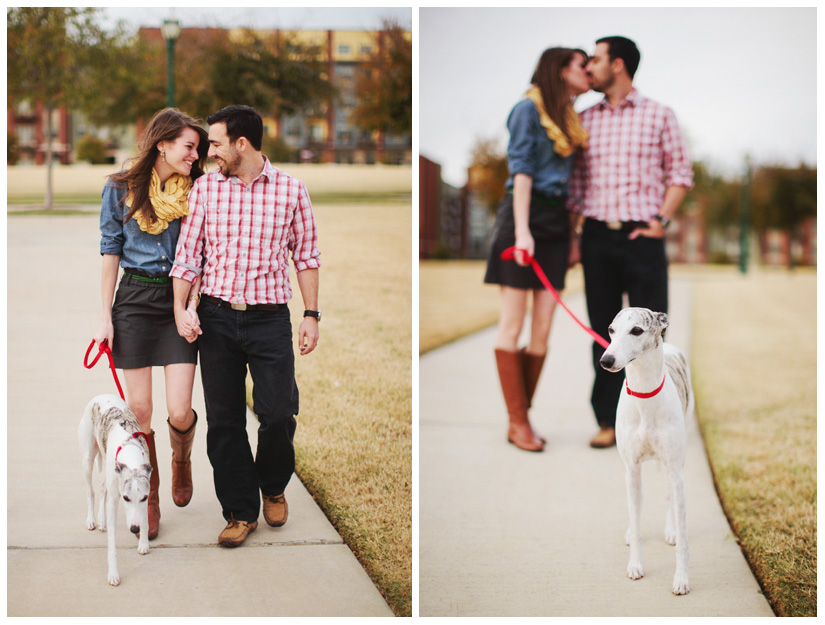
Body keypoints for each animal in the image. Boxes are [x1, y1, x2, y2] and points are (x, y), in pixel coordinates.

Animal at [79, 394, 154, 584]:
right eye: (126, 498)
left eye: (143, 498)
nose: (134, 529)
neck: (130, 453)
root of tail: (101, 395)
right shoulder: (115, 499)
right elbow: (112, 544)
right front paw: (113, 573)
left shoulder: (145, 488)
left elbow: (145, 518)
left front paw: (143, 542)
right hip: (88, 460)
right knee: (90, 491)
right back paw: (92, 519)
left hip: (110, 472)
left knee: (102, 488)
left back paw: (101, 519)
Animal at [596, 308, 692, 596]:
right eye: (610, 330)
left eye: (637, 330)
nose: (606, 360)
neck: (645, 394)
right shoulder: (632, 468)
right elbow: (637, 521)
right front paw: (636, 565)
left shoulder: (676, 471)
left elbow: (684, 537)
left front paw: (681, 579)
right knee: (635, 505)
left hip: (677, 466)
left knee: (669, 497)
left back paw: (670, 531)